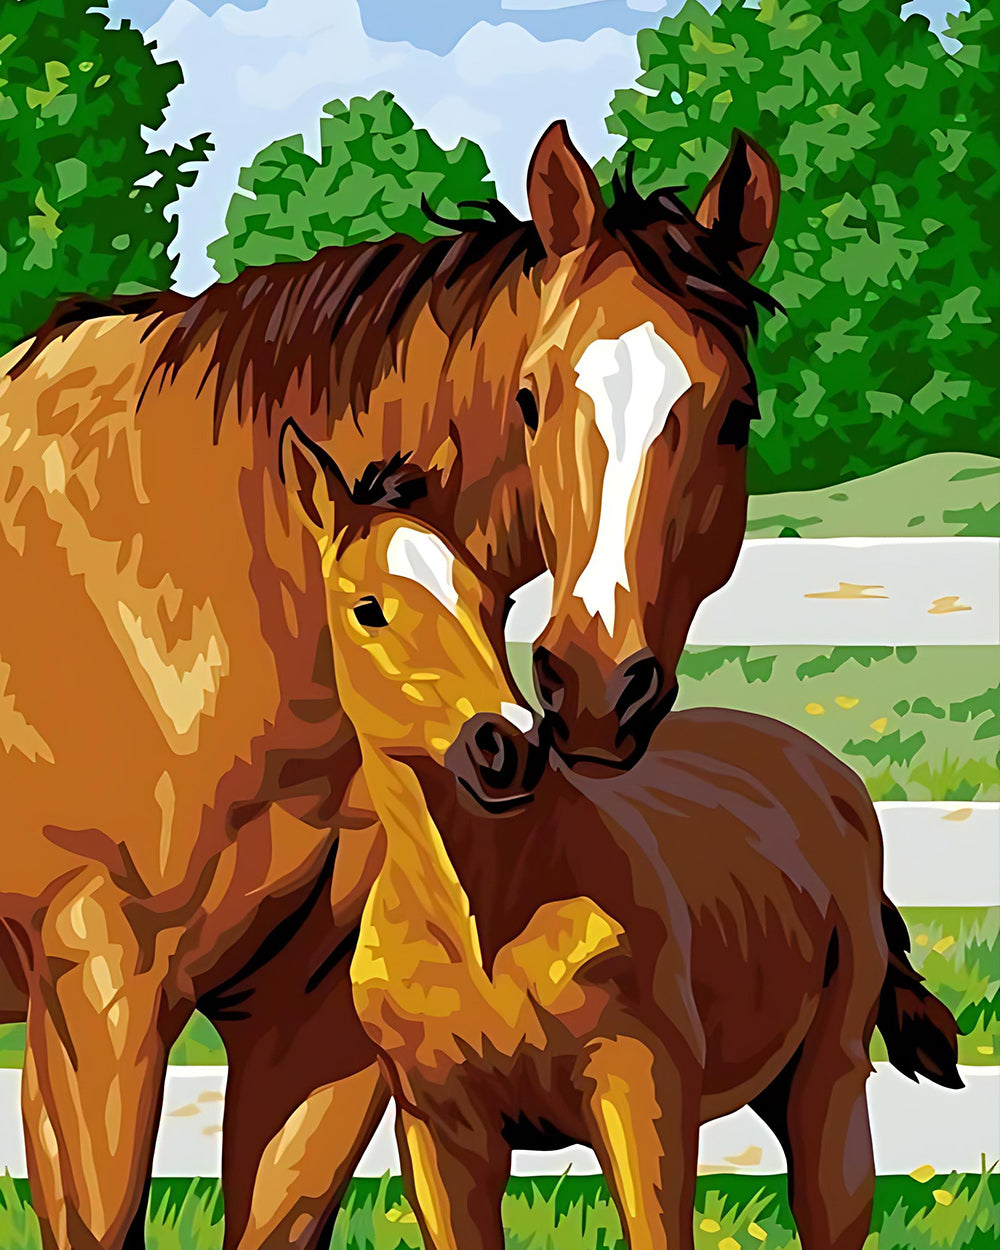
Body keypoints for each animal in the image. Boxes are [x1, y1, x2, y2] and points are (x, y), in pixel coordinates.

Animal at [283, 428, 963, 1250]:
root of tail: (829, 774)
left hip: (826, 1079)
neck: (484, 922)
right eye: (368, 608)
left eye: (497, 601)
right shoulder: (438, 1134)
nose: (505, 748)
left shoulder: (643, 1098)